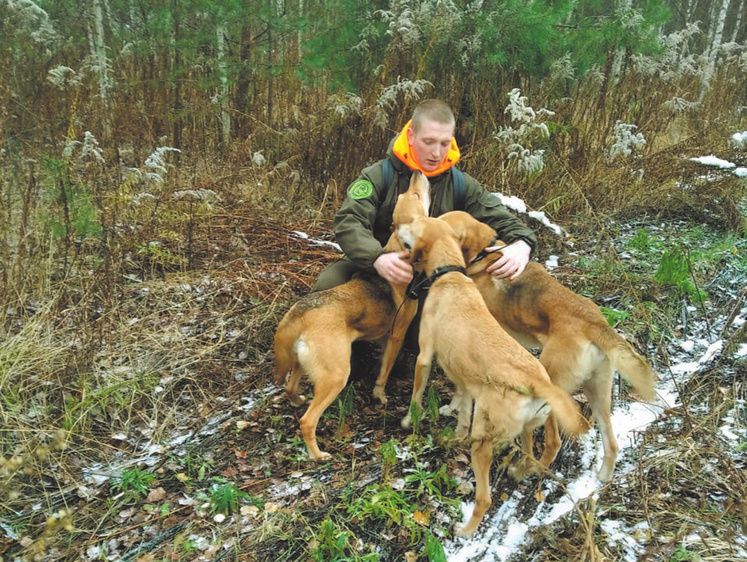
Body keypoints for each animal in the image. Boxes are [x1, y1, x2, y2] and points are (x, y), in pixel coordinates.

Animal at [272, 172, 430, 460]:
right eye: (414, 195)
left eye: (406, 195)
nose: (417, 173)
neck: (399, 251)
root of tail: (298, 313)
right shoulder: (396, 335)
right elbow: (384, 373)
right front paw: (380, 396)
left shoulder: (383, 337)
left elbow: (381, 364)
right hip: (335, 376)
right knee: (307, 421)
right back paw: (318, 455)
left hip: (301, 363)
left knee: (290, 389)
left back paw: (297, 400)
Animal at [398, 214, 592, 532]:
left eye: (416, 226)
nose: (398, 222)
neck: (451, 276)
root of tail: (537, 380)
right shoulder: (464, 379)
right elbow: (461, 409)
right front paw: (453, 430)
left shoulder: (425, 357)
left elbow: (416, 397)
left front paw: (408, 421)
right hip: (526, 429)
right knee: (532, 452)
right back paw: (519, 471)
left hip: (483, 444)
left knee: (485, 499)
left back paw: (465, 531)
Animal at [436, 210, 656, 482]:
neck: (484, 257)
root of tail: (594, 322)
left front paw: (452, 407)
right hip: (598, 392)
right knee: (610, 442)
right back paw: (601, 477)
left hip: (553, 391)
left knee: (553, 443)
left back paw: (525, 470)